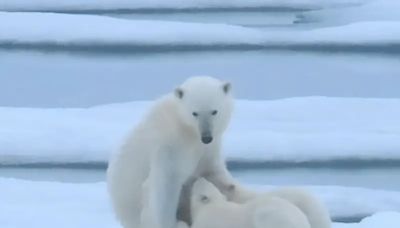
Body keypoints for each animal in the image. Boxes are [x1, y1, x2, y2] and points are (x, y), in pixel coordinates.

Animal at [107, 76, 332, 228]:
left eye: (214, 111)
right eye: (195, 113)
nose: (207, 135)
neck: (188, 130)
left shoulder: (209, 149)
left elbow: (214, 174)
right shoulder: (170, 146)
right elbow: (165, 186)